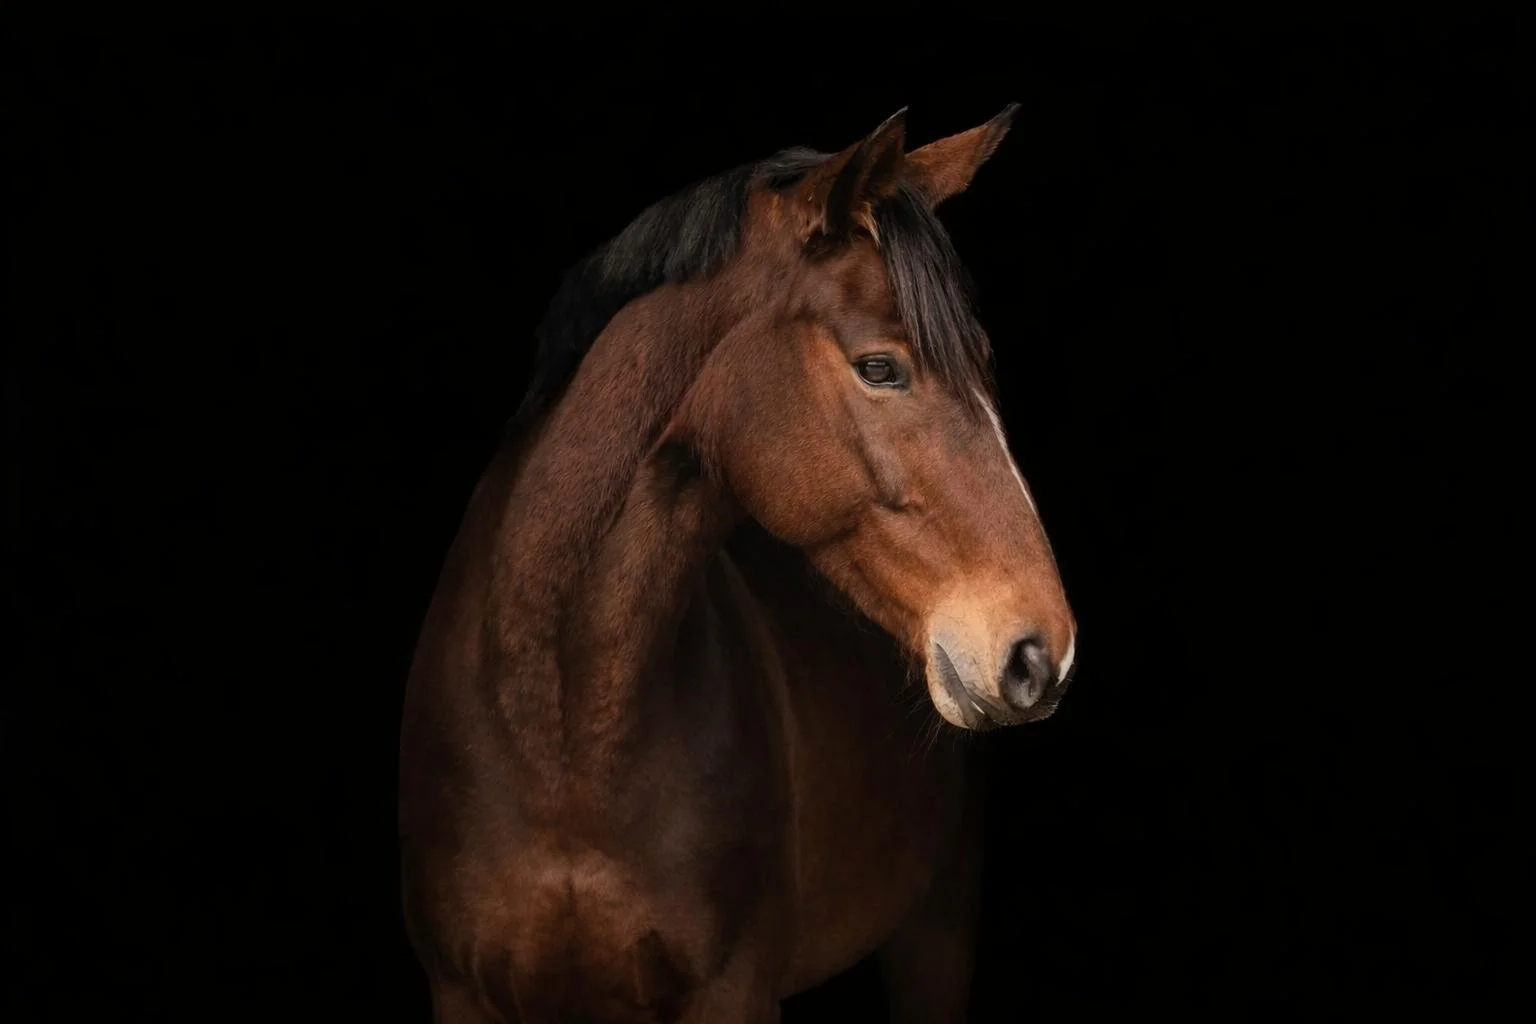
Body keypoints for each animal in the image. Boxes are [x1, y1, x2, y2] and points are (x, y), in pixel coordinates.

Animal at [399, 105, 1077, 1023]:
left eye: (983, 363)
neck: (561, 743)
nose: (1042, 653)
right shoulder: (463, 993)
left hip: (935, 932)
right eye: (879, 367)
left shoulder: (734, 992)